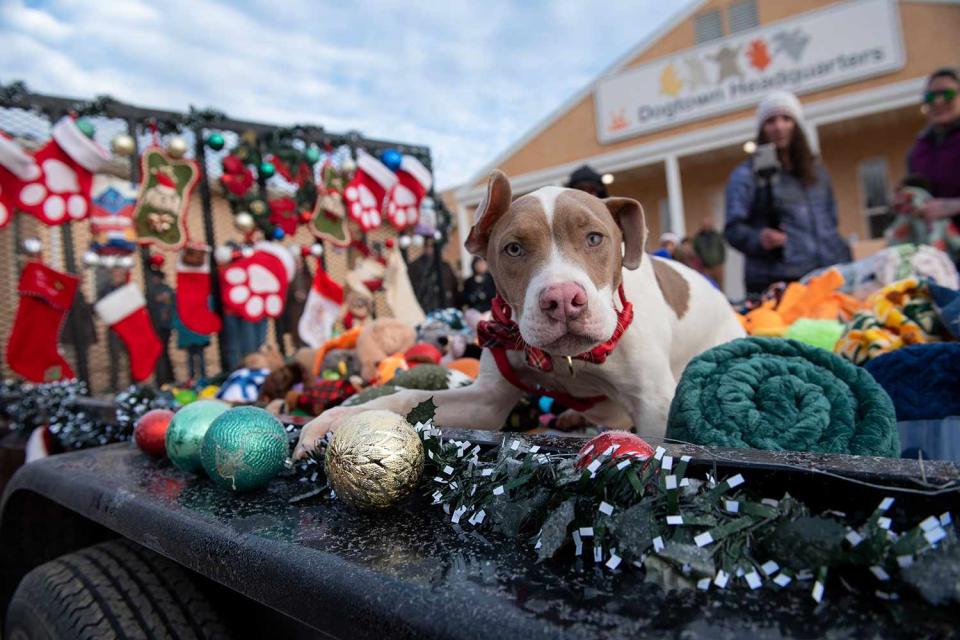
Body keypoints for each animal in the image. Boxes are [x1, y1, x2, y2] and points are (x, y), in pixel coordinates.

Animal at [292, 170, 744, 460]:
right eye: (514, 248)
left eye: (594, 238)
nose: (563, 299)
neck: (569, 362)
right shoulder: (485, 401)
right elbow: (406, 398)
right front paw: (336, 419)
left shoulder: (654, 403)